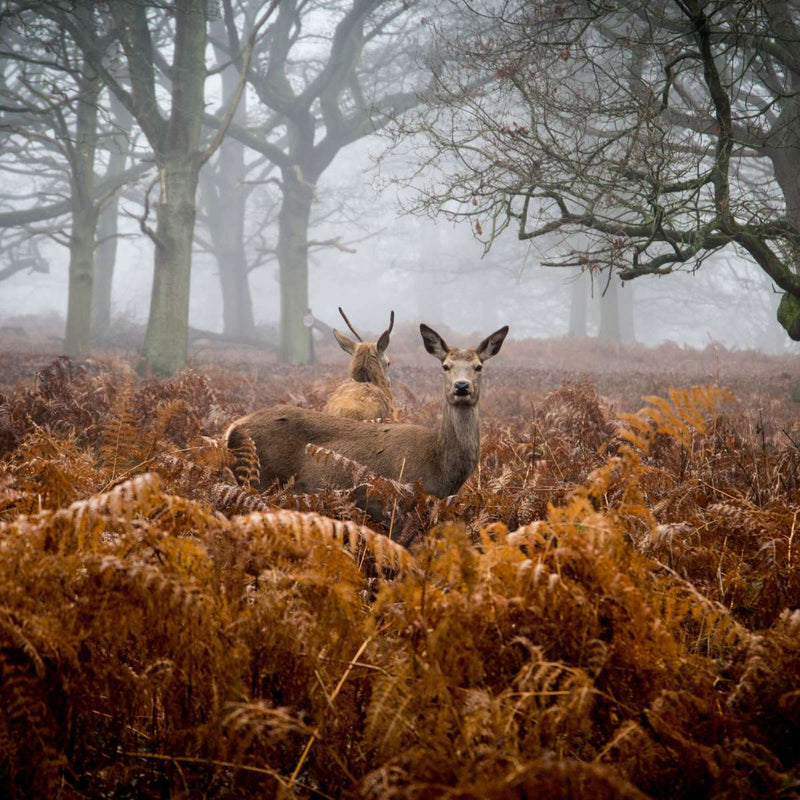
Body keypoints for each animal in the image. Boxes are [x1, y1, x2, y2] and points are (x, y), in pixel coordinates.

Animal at [222, 322, 510, 496]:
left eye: (479, 366)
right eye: (445, 366)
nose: (462, 386)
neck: (441, 468)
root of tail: (231, 430)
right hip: (261, 480)